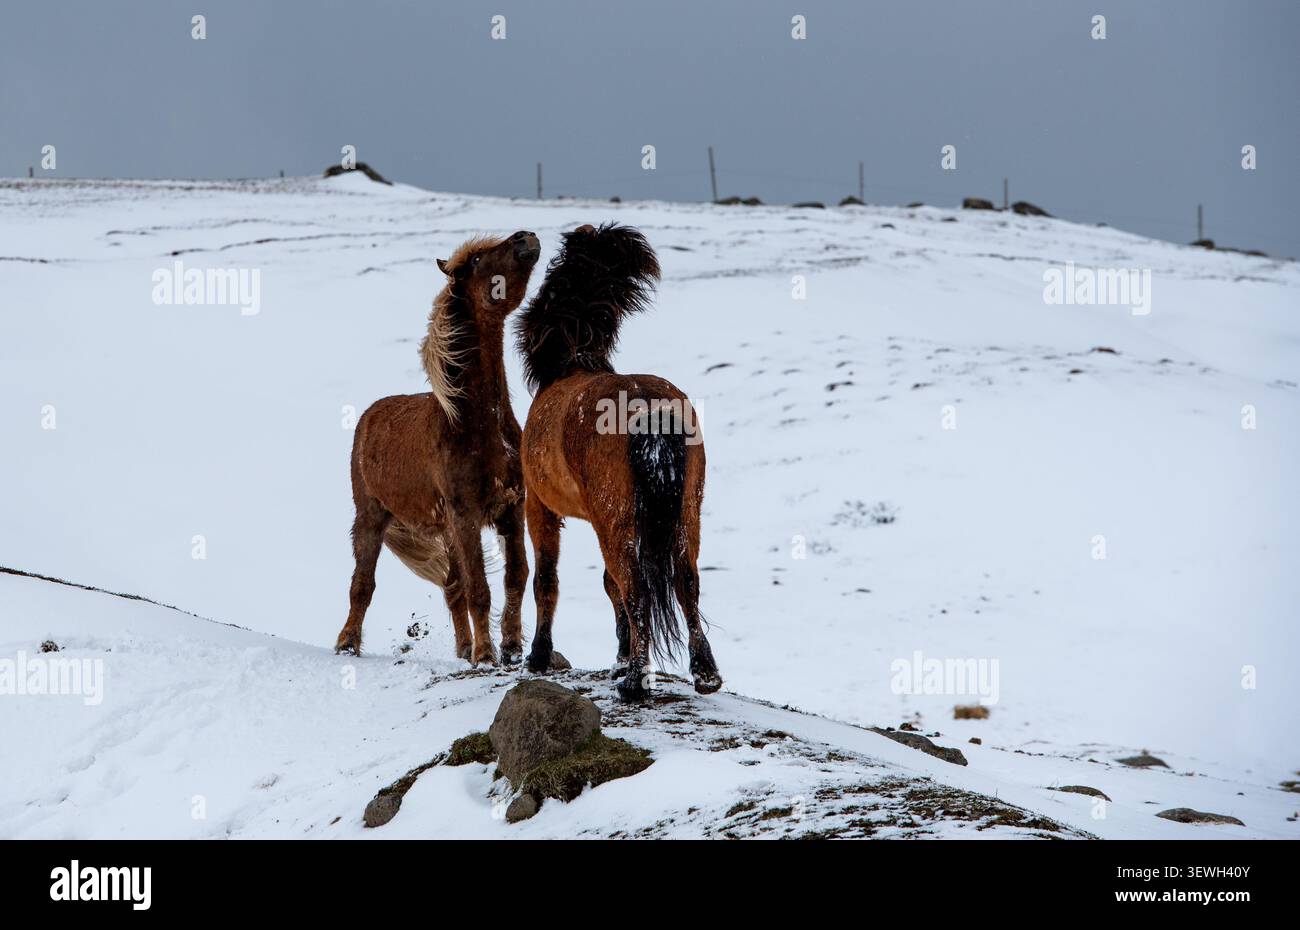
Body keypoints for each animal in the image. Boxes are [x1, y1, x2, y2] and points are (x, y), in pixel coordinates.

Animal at [334, 231, 540, 665]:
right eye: (477, 259)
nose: (526, 237)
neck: (472, 424)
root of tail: (368, 417)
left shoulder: (511, 509)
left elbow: (515, 577)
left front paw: (511, 647)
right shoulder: (466, 515)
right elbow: (480, 588)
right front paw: (487, 654)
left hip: (445, 529)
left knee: (450, 586)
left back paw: (463, 649)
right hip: (372, 518)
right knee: (363, 584)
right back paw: (346, 643)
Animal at [515, 223, 723, 701]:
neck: (571, 362)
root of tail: (649, 407)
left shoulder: (540, 506)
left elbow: (547, 580)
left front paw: (539, 655)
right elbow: (611, 587)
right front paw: (621, 657)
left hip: (619, 521)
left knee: (637, 589)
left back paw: (635, 682)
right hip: (684, 515)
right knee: (686, 584)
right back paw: (704, 674)